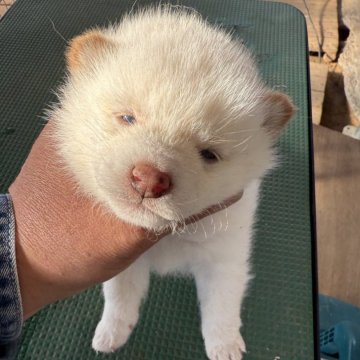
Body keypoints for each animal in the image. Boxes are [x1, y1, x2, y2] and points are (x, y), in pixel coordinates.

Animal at [50, 5, 292, 360]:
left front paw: (225, 346)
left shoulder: (225, 256)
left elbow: (222, 306)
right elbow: (120, 295)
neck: (167, 236)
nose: (150, 179)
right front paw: (111, 333)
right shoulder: (123, 260)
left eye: (208, 154)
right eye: (127, 118)